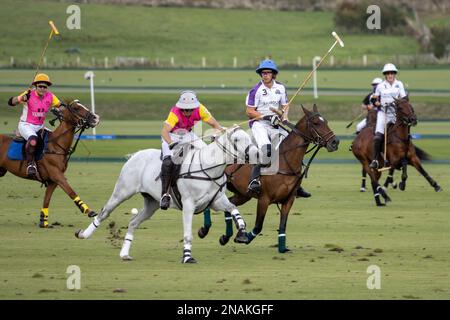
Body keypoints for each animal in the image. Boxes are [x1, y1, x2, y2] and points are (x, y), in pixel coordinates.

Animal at [0, 100, 100, 228]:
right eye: (76, 108)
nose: (95, 117)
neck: (56, 145)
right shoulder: (57, 175)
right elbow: (71, 191)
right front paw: (88, 211)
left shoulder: (53, 180)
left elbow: (46, 200)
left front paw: (44, 222)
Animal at [75, 126, 258, 264]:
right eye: (236, 140)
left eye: (249, 138)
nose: (256, 153)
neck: (208, 169)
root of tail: (135, 155)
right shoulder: (189, 205)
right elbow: (187, 234)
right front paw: (187, 257)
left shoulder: (217, 201)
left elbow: (233, 209)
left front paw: (242, 233)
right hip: (122, 191)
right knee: (105, 212)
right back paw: (84, 234)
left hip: (152, 203)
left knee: (133, 222)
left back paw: (125, 253)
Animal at [197, 104, 338, 252]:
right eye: (316, 123)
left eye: (326, 121)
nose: (335, 142)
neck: (285, 163)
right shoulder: (264, 199)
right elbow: (258, 226)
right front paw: (244, 238)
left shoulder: (289, 200)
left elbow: (283, 225)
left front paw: (282, 248)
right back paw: (204, 230)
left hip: (243, 194)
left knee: (230, 204)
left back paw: (225, 237)